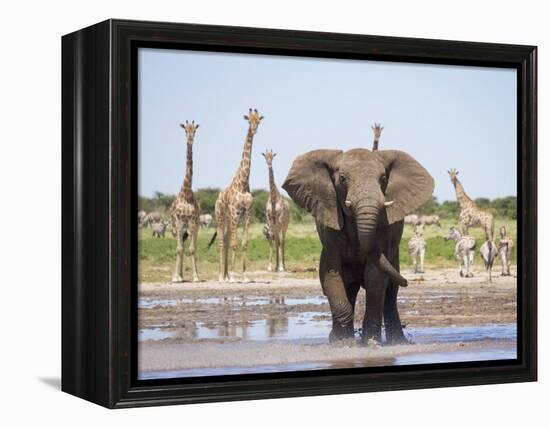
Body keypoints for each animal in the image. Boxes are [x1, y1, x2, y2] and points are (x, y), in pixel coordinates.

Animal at [212, 108, 264, 280]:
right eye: (249, 120)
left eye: (258, 120)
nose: (254, 130)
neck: (243, 183)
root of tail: (216, 200)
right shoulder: (235, 213)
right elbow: (235, 244)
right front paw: (234, 275)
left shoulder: (247, 214)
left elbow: (244, 244)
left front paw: (244, 275)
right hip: (221, 218)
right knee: (221, 242)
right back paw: (221, 276)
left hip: (229, 221)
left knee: (226, 242)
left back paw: (226, 274)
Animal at [284, 149, 436, 342]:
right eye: (342, 179)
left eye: (383, 178)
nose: (408, 282)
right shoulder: (330, 229)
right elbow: (331, 273)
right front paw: (341, 343)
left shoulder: (383, 228)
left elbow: (375, 276)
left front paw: (370, 342)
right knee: (350, 286)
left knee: (390, 291)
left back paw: (398, 342)